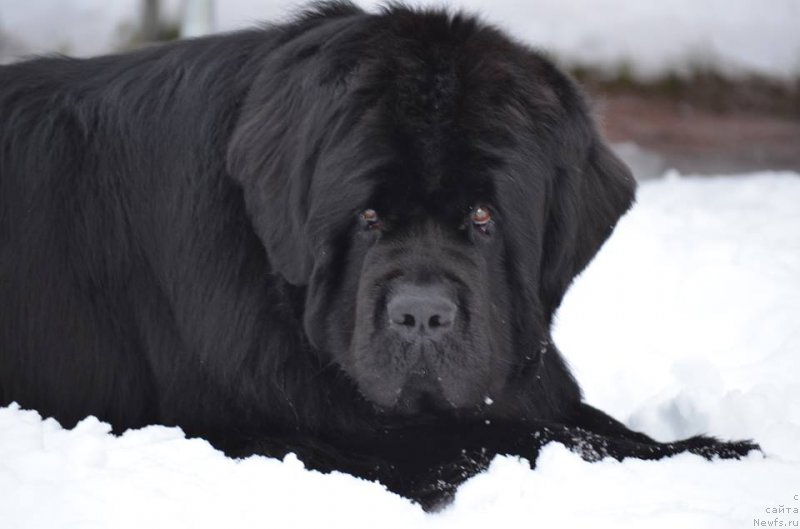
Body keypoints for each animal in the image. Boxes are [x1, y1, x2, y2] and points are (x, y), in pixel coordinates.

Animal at [0, 2, 756, 510]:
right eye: (367, 218)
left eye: (482, 216)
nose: (421, 315)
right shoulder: (298, 435)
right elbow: (528, 436)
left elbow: (586, 422)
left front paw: (708, 447)